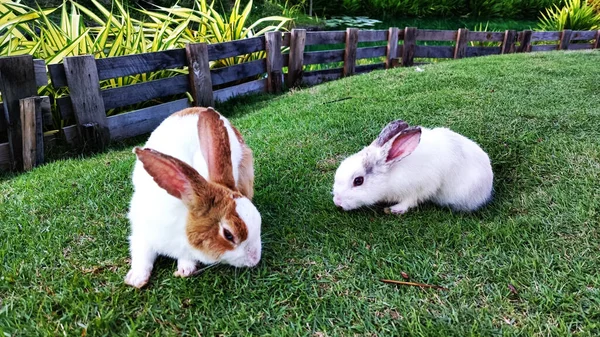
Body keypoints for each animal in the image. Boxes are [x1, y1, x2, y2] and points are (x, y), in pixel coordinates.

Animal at [124, 106, 260, 288]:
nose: (255, 259)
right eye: (228, 234)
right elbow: (142, 254)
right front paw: (136, 279)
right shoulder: (141, 232)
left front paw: (185, 269)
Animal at [332, 119, 492, 214]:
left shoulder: (422, 187)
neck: (391, 174)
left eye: (358, 181)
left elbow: (411, 200)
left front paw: (394, 209)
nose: (337, 202)